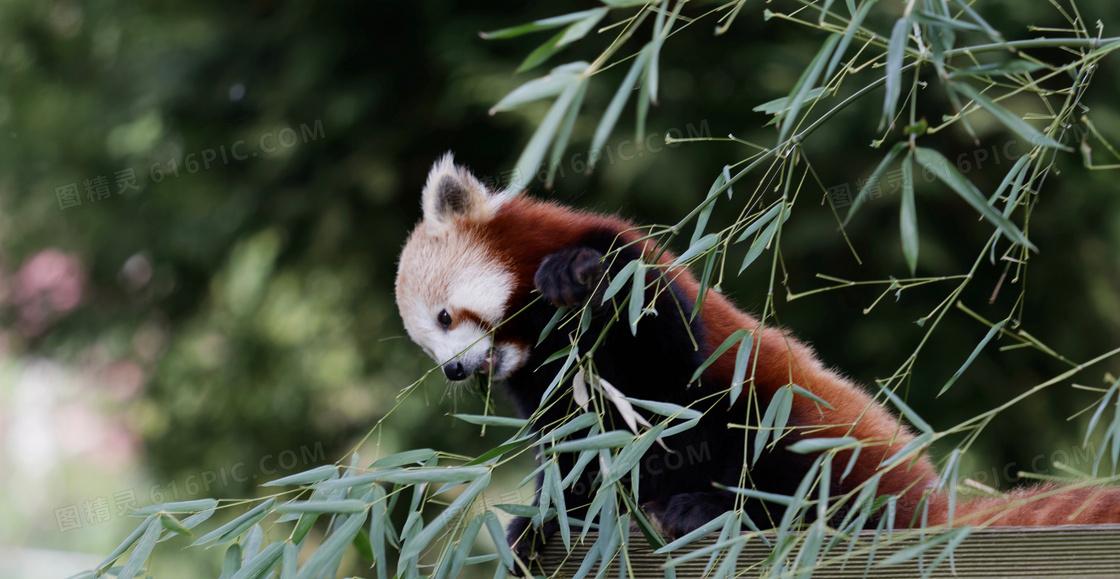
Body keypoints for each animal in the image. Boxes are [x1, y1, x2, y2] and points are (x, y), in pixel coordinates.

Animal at [394, 155, 1120, 562]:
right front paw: (543, 522)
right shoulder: (549, 387)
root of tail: (930, 510)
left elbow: (666, 359)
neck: (543, 339)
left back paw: (714, 509)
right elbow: (581, 456)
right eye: (427, 346)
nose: (454, 371)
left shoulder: (640, 275)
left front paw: (574, 275)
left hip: (805, 425)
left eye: (445, 317)